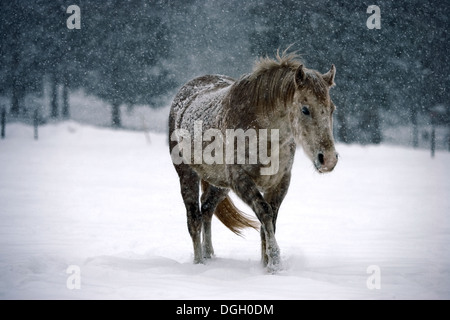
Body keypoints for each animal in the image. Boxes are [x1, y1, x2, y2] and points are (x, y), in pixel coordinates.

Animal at [169, 51, 338, 272]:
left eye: (332, 109)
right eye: (305, 109)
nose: (328, 159)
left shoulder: (280, 182)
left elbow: (271, 220)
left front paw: (266, 264)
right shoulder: (241, 180)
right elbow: (264, 213)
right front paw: (275, 263)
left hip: (220, 184)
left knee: (207, 209)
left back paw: (209, 255)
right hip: (187, 175)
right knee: (194, 219)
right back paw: (199, 262)